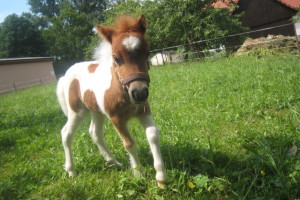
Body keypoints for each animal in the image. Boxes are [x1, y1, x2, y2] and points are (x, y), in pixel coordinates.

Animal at [56, 14, 168, 187]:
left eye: (147, 52)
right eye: (116, 58)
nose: (139, 93)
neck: (124, 93)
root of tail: (66, 74)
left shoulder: (143, 110)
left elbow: (153, 134)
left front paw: (161, 177)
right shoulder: (116, 118)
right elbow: (129, 143)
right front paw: (139, 173)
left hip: (96, 111)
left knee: (94, 133)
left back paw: (113, 162)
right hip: (77, 112)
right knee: (66, 133)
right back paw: (71, 171)